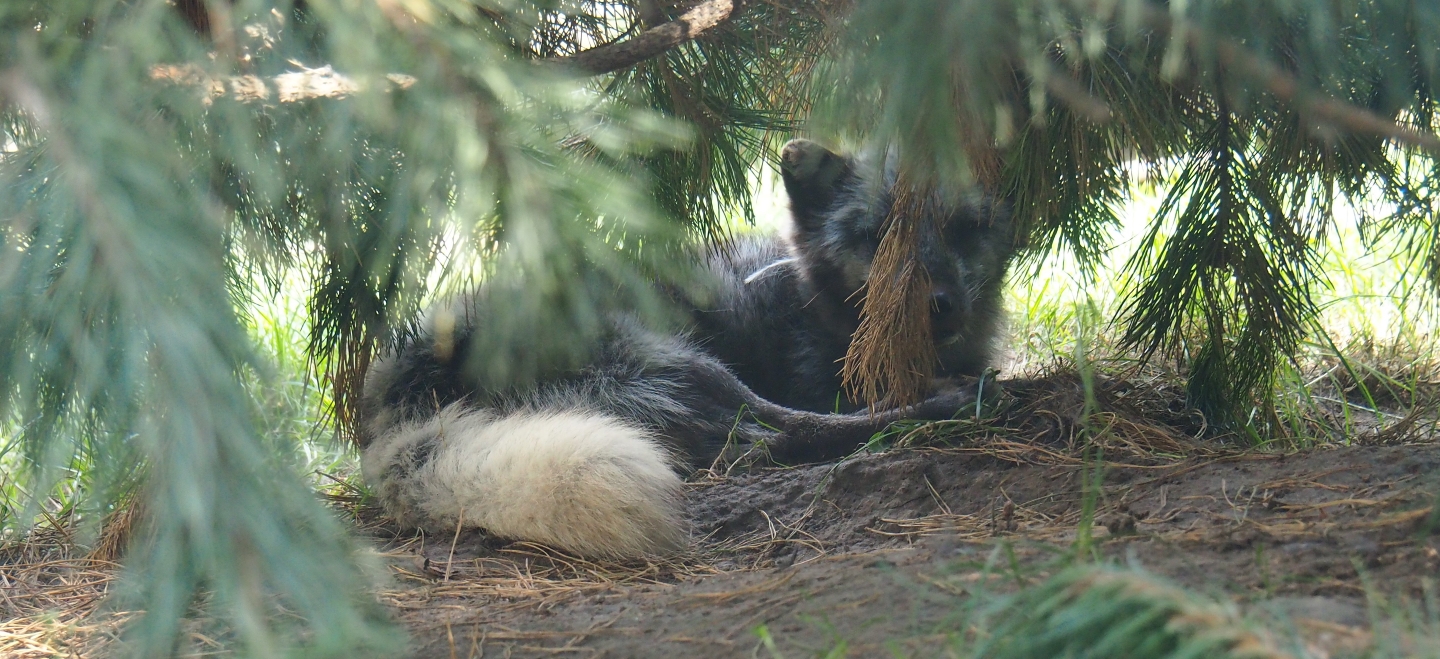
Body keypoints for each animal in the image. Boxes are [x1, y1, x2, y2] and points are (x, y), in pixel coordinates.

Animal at [357, 139, 1018, 559]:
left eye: (964, 228)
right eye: (876, 236)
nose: (937, 305)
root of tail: (402, 383)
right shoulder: (820, 382)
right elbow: (832, 412)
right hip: (675, 364)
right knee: (776, 434)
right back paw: (951, 404)